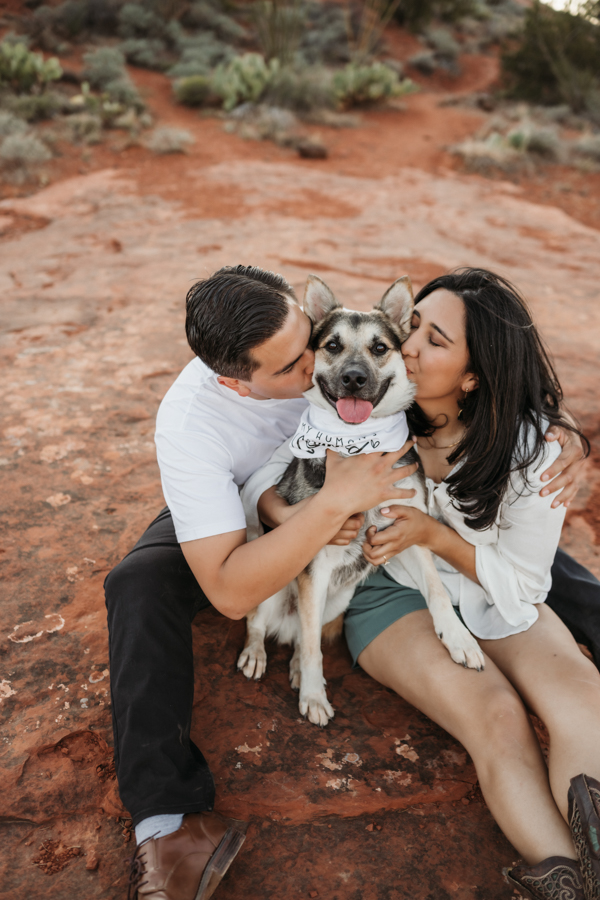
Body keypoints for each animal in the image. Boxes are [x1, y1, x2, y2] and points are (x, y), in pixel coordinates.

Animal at [237, 272, 486, 724]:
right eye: (332, 345)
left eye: (380, 348)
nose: (354, 378)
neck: (359, 450)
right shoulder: (314, 563)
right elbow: (313, 648)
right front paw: (314, 697)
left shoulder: (406, 532)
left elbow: (437, 590)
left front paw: (459, 639)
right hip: (275, 584)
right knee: (264, 626)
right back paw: (258, 655)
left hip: (339, 600)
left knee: (300, 637)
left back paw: (294, 667)